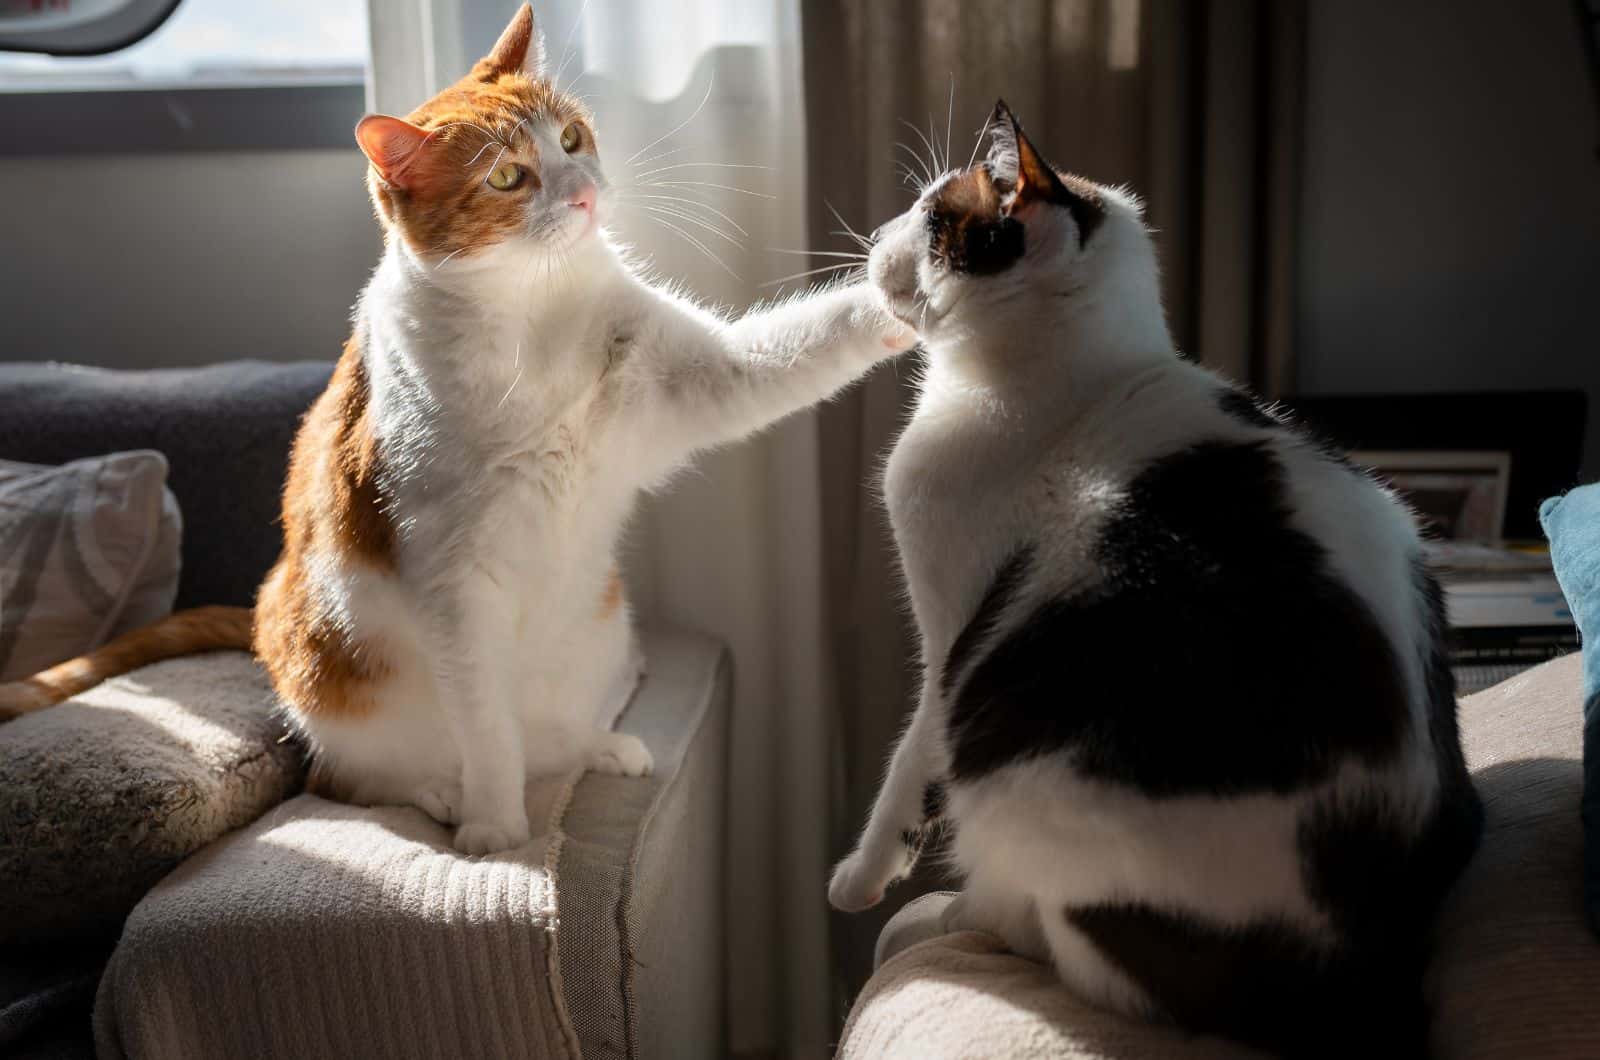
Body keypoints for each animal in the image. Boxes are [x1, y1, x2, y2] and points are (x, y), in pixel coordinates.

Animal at [6, 4, 915, 858]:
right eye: (509, 175)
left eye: (572, 137)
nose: (583, 193)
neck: (535, 314)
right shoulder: (452, 585)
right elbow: (485, 725)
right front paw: (496, 827)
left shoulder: (699, 378)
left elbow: (799, 344)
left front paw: (908, 290)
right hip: (335, 680)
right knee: (358, 778)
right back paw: (447, 796)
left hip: (598, 632)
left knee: (550, 738)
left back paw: (597, 746)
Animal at [832, 104, 1478, 1056]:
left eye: (929, 216)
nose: (877, 236)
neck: (1073, 379)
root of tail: (1359, 986)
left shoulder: (949, 636)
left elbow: (908, 764)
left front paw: (860, 878)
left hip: (1026, 780)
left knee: (1058, 942)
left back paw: (947, 916)